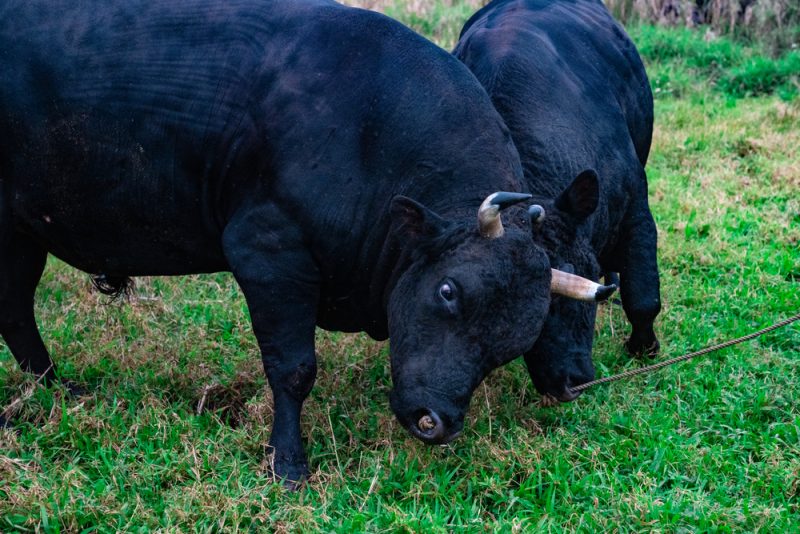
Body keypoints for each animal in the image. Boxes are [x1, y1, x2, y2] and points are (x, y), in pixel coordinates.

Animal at [0, 0, 612, 486]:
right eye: (447, 291)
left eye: (512, 343)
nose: (435, 422)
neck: (367, 133)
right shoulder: (268, 252)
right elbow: (294, 369)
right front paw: (288, 463)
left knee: (15, 314)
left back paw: (58, 390)